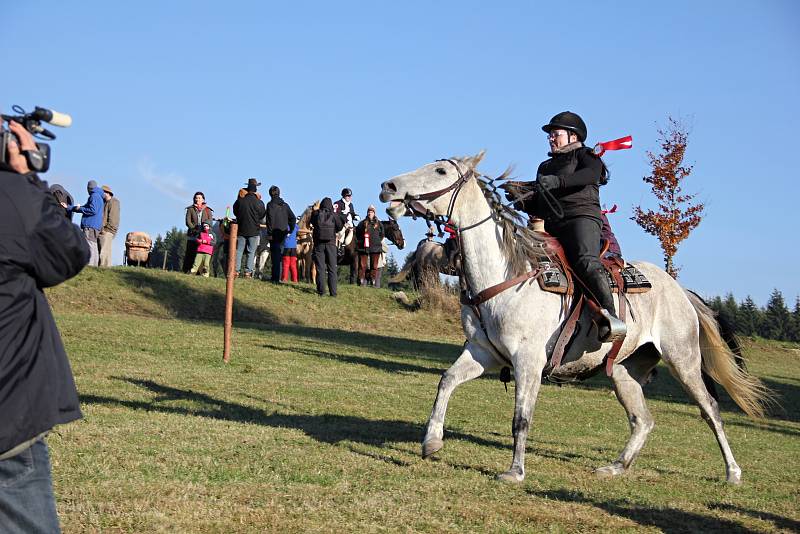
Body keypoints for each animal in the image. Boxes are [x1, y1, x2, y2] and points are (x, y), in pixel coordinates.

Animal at [382, 152, 768, 486]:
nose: (388, 186)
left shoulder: (528, 361)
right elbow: (446, 381)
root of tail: (680, 290)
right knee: (643, 420)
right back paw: (616, 466)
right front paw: (432, 442)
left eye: (440, 171)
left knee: (711, 410)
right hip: (625, 372)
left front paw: (515, 472)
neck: (507, 275)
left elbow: (521, 418)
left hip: (684, 360)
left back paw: (733, 472)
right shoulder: (482, 353)